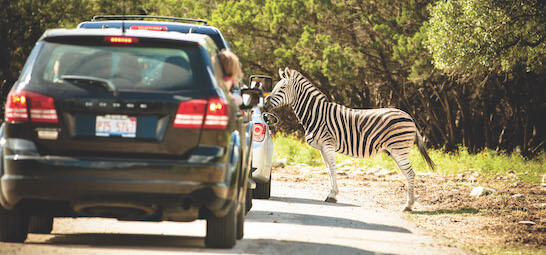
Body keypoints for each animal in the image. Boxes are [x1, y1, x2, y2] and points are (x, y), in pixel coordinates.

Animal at [264, 67, 434, 211]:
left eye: (282, 88)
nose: (265, 104)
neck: (316, 114)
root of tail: (410, 118)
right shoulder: (321, 148)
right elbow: (328, 170)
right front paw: (332, 193)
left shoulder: (328, 144)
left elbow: (333, 169)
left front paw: (332, 195)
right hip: (396, 151)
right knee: (407, 174)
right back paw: (408, 204)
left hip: (399, 149)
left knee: (410, 174)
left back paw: (408, 206)